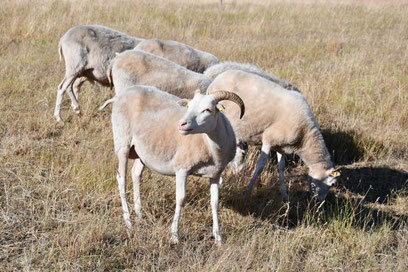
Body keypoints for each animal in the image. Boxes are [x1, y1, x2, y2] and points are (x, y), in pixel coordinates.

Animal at [111, 84, 245, 244]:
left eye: (208, 109)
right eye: (189, 106)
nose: (181, 124)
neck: (211, 146)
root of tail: (125, 92)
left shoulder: (215, 175)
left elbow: (215, 203)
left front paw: (218, 238)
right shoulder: (182, 169)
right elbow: (180, 199)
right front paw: (175, 235)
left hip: (141, 152)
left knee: (136, 174)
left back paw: (140, 215)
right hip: (122, 144)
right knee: (121, 179)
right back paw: (128, 221)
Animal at [206, 70, 340, 202]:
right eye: (332, 184)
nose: (318, 203)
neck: (305, 136)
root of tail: (217, 78)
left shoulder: (281, 146)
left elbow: (281, 168)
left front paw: (284, 195)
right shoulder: (268, 140)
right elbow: (260, 167)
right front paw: (247, 191)